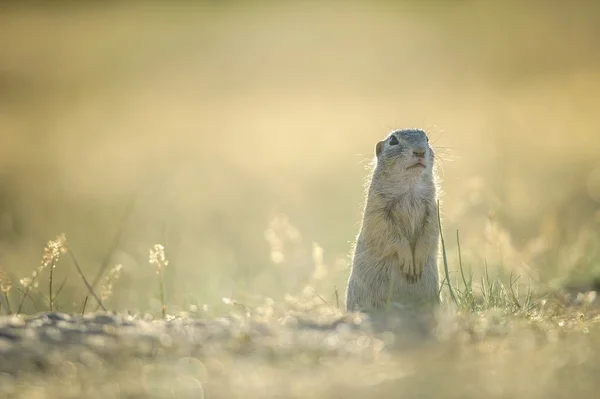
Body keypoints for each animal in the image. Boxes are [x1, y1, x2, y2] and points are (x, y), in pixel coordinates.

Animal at [342, 129, 440, 312]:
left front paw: (418, 259)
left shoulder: (432, 209)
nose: (420, 151)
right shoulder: (379, 211)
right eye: (393, 141)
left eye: (427, 139)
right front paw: (408, 260)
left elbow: (430, 233)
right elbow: (390, 235)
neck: (410, 186)